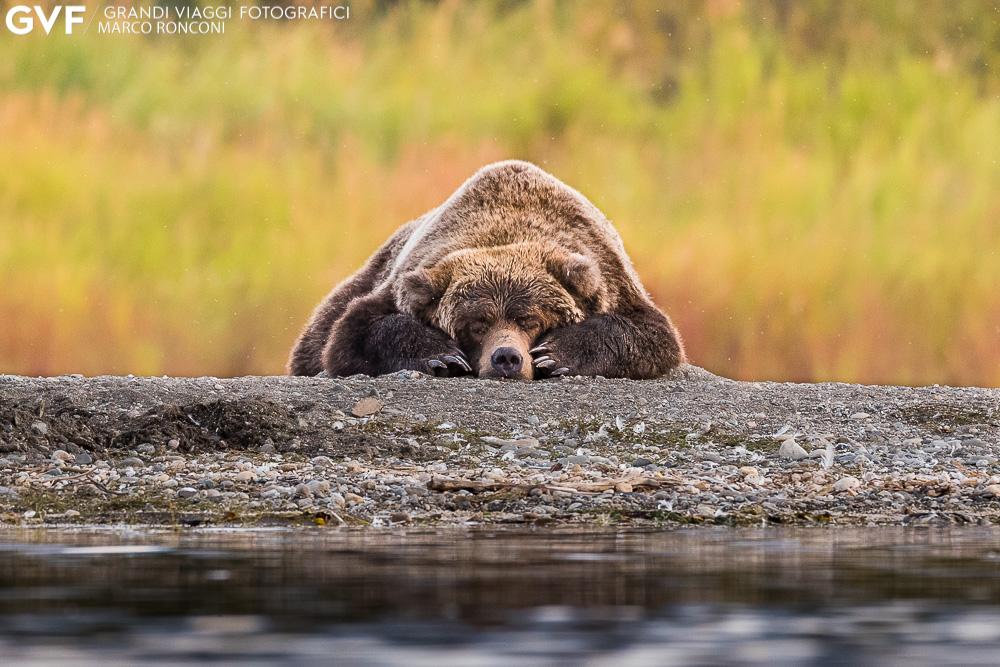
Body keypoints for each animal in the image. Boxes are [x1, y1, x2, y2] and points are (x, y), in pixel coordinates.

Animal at [286, 160, 684, 380]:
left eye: (530, 320)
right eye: (476, 325)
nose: (506, 357)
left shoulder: (609, 276)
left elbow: (652, 334)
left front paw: (556, 354)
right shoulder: (403, 279)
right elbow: (352, 334)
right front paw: (440, 353)